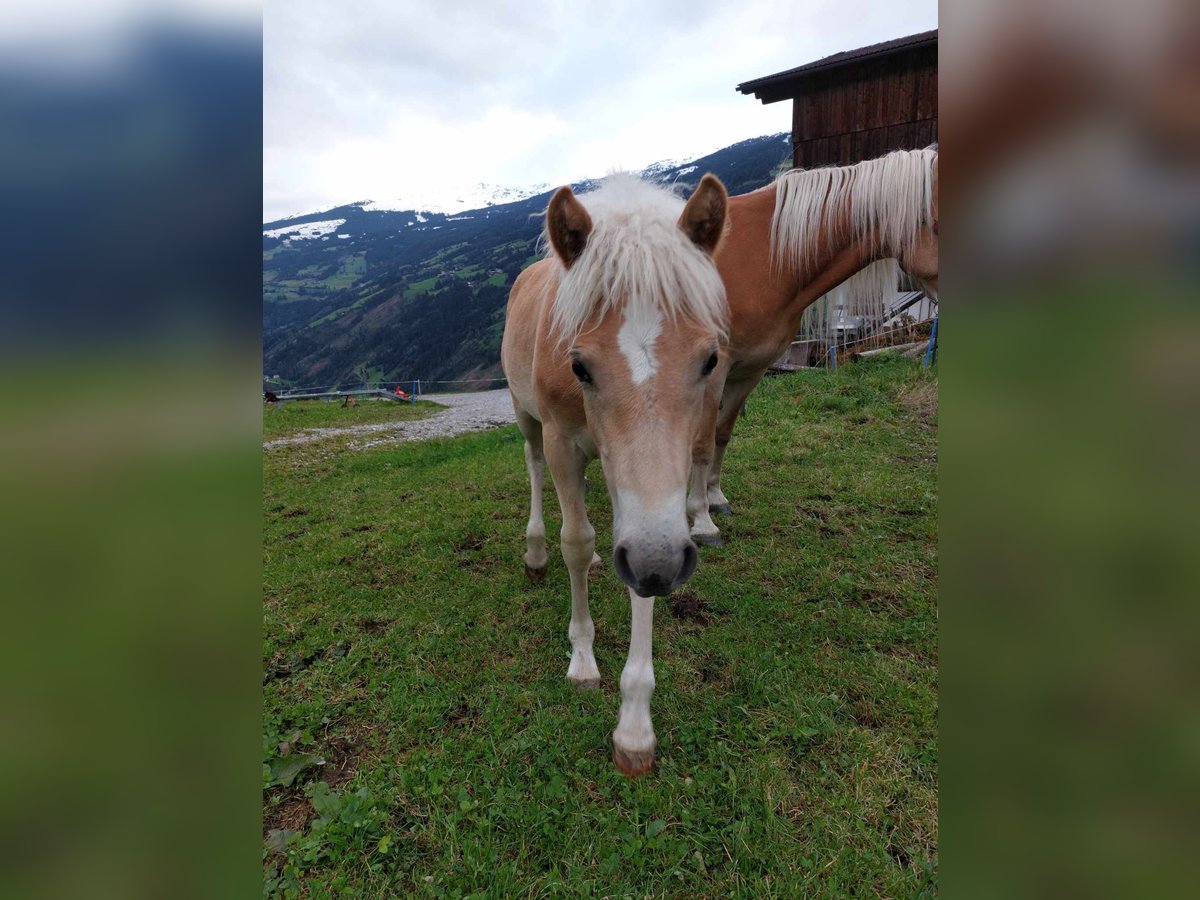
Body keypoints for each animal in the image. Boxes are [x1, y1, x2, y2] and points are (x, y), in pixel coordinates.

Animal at [499, 174, 724, 777]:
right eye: (578, 365)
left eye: (710, 360)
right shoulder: (561, 441)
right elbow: (575, 541)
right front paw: (582, 659)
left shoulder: (649, 496)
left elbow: (639, 565)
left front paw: (634, 726)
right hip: (526, 416)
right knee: (533, 468)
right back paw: (535, 551)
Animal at [686, 146, 936, 549]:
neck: (762, 255)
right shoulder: (715, 368)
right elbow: (702, 443)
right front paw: (702, 522)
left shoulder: (749, 369)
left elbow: (723, 433)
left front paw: (715, 498)